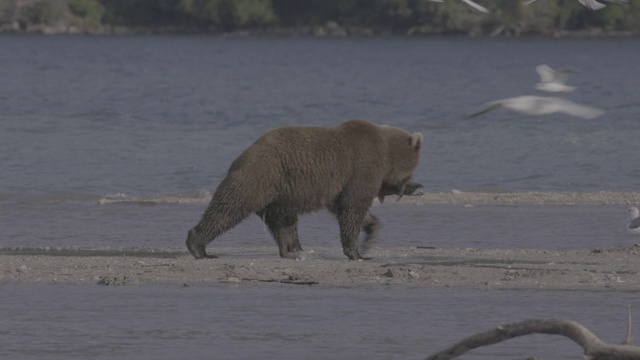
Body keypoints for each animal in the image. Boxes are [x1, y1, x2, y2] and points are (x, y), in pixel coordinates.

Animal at [186, 119, 424, 260]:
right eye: (412, 170)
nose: (417, 186)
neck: (386, 154)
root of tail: (242, 156)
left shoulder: (338, 186)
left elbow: (347, 208)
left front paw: (370, 235)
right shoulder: (361, 168)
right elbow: (353, 207)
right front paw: (356, 252)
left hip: (282, 192)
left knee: (283, 221)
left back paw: (293, 250)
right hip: (262, 176)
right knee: (229, 207)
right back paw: (199, 247)